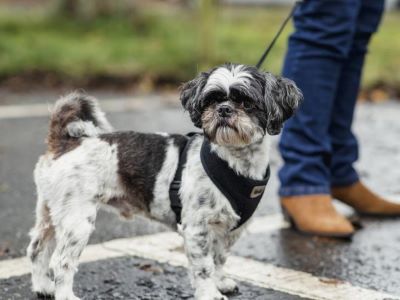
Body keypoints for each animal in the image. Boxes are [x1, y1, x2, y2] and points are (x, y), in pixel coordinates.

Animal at [28, 62, 302, 298]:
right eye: (211, 100)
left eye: (246, 102)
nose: (223, 109)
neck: (235, 163)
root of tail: (66, 142)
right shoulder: (196, 229)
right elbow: (204, 267)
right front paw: (210, 294)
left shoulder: (228, 231)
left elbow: (219, 259)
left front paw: (221, 282)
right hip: (77, 220)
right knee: (61, 261)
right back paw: (65, 294)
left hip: (50, 213)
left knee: (37, 249)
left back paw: (43, 286)